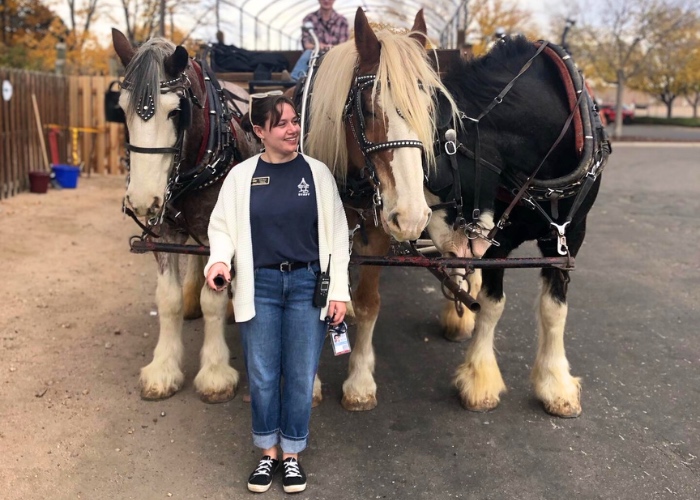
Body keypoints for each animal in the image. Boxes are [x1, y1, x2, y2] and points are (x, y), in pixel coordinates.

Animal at [112, 28, 258, 402]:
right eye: (121, 109)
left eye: (176, 112)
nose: (142, 200)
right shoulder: (165, 232)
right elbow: (168, 299)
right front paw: (163, 369)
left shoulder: (217, 234)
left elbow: (214, 301)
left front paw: (215, 374)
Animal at [304, 8, 460, 410]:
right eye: (367, 107)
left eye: (428, 109)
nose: (412, 217)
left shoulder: (377, 234)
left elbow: (369, 302)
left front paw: (359, 381)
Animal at [424, 35, 608, 416]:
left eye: (438, 180)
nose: (443, 247)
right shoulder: (498, 240)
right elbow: (492, 305)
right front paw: (480, 378)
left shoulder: (570, 235)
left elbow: (555, 308)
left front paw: (556, 383)